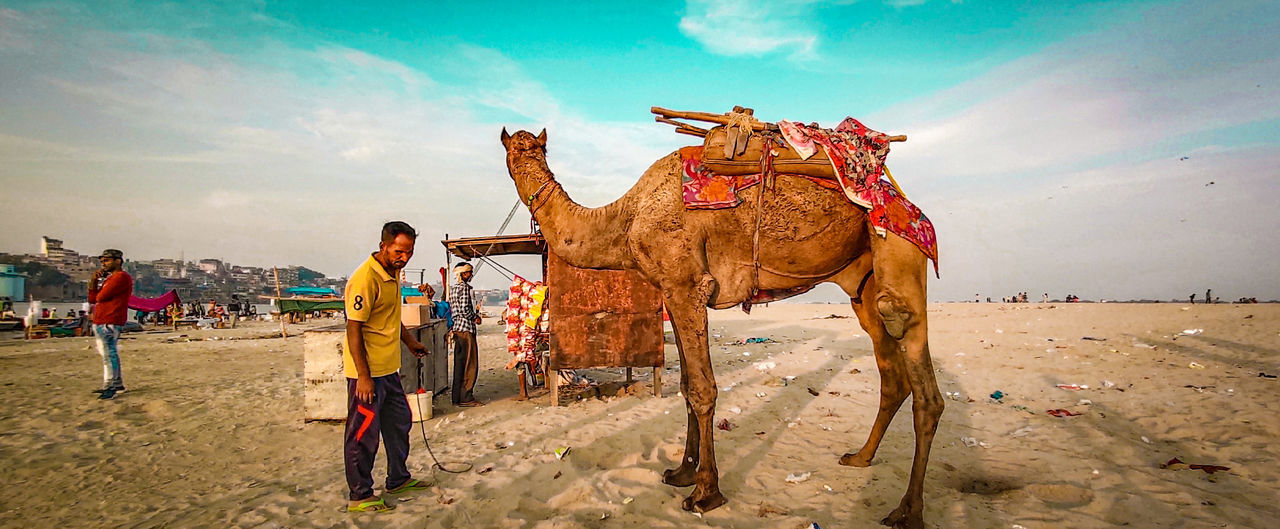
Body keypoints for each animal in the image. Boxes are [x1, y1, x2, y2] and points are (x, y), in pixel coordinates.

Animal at [504, 125, 947, 525]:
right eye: (514, 152)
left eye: (535, 149)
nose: (524, 164)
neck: (627, 217)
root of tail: (907, 204)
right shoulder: (671, 293)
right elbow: (686, 386)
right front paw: (681, 472)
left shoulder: (686, 284)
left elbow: (702, 389)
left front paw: (705, 492)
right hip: (863, 281)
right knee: (891, 371)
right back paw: (860, 457)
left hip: (899, 249)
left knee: (917, 363)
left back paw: (908, 511)